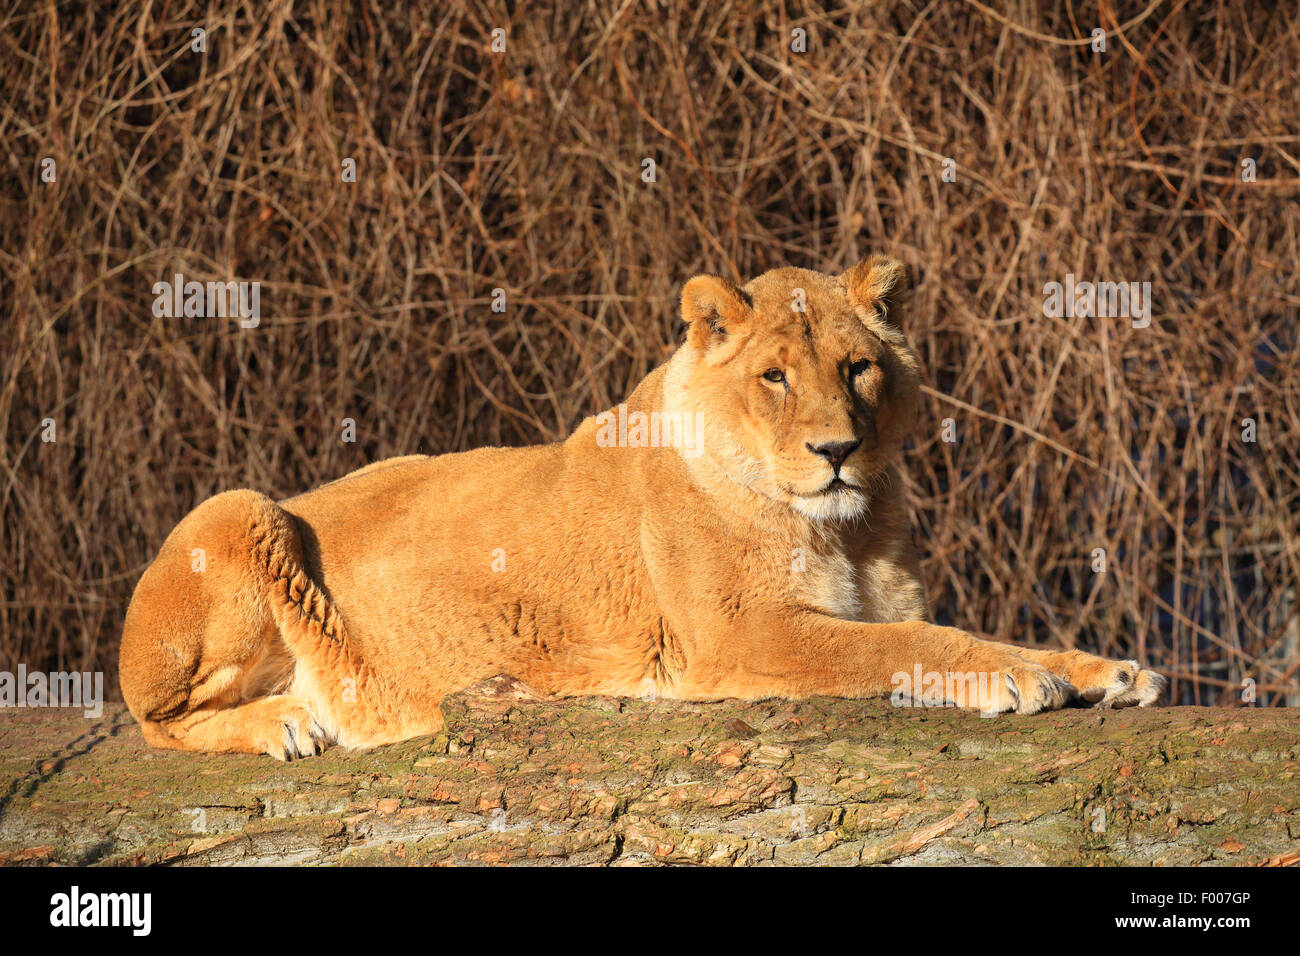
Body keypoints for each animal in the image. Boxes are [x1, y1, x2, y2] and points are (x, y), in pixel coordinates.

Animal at [118, 256, 1166, 759]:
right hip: (242, 508)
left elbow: (972, 627)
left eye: (857, 368)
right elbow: (910, 645)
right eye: (775, 378)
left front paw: (1105, 669)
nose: (836, 451)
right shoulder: (742, 637)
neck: (847, 525)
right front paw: (1020, 680)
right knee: (154, 720)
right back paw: (284, 725)